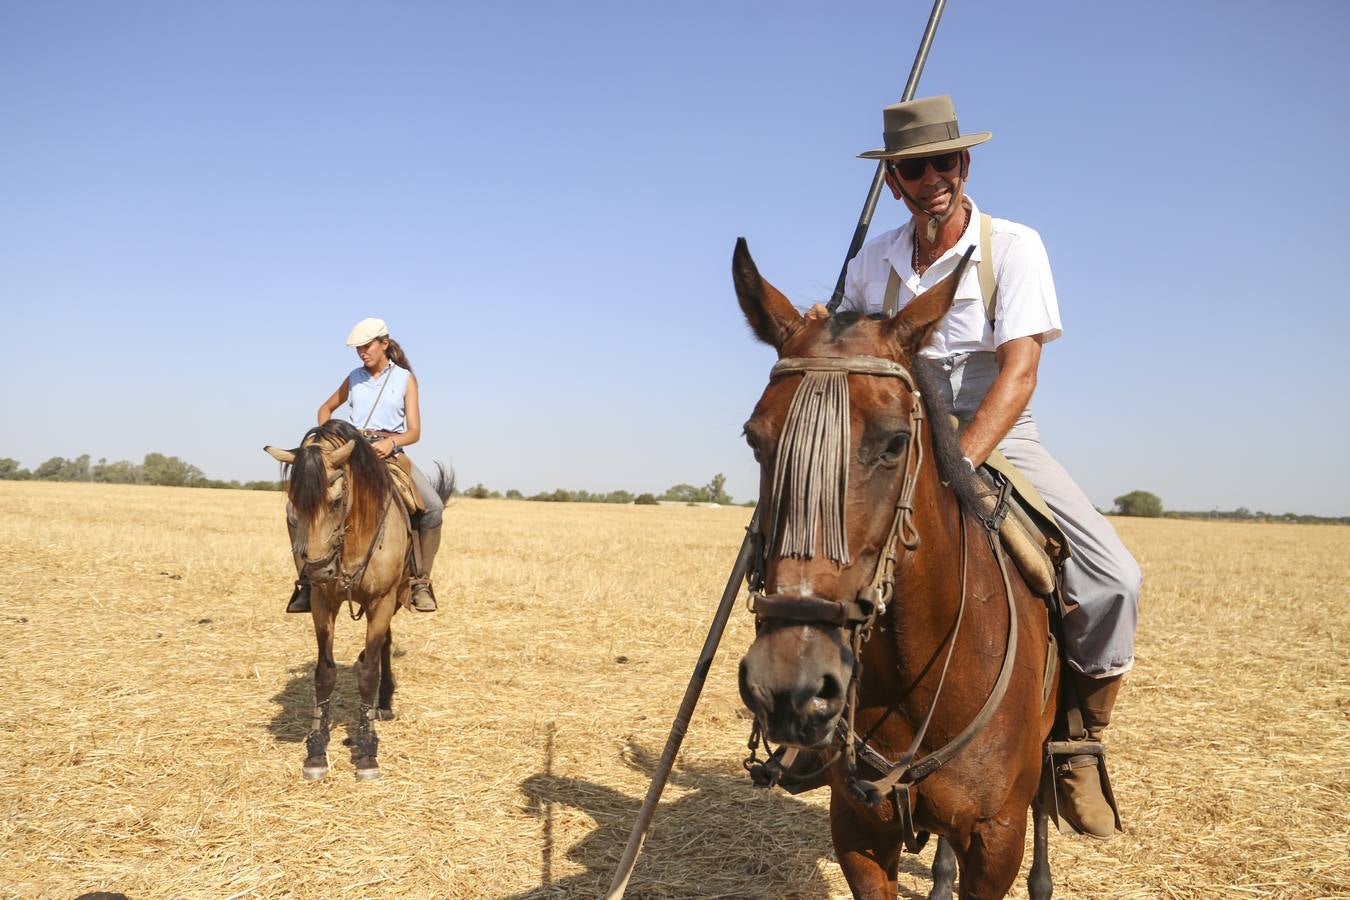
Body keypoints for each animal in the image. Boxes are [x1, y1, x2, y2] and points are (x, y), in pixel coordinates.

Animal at [265, 423, 450, 782]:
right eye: (293, 504)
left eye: (336, 501)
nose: (318, 569)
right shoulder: (323, 601)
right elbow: (325, 673)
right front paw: (316, 751)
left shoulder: (382, 600)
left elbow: (368, 673)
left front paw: (367, 752)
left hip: (396, 597)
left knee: (382, 649)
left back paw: (384, 702)